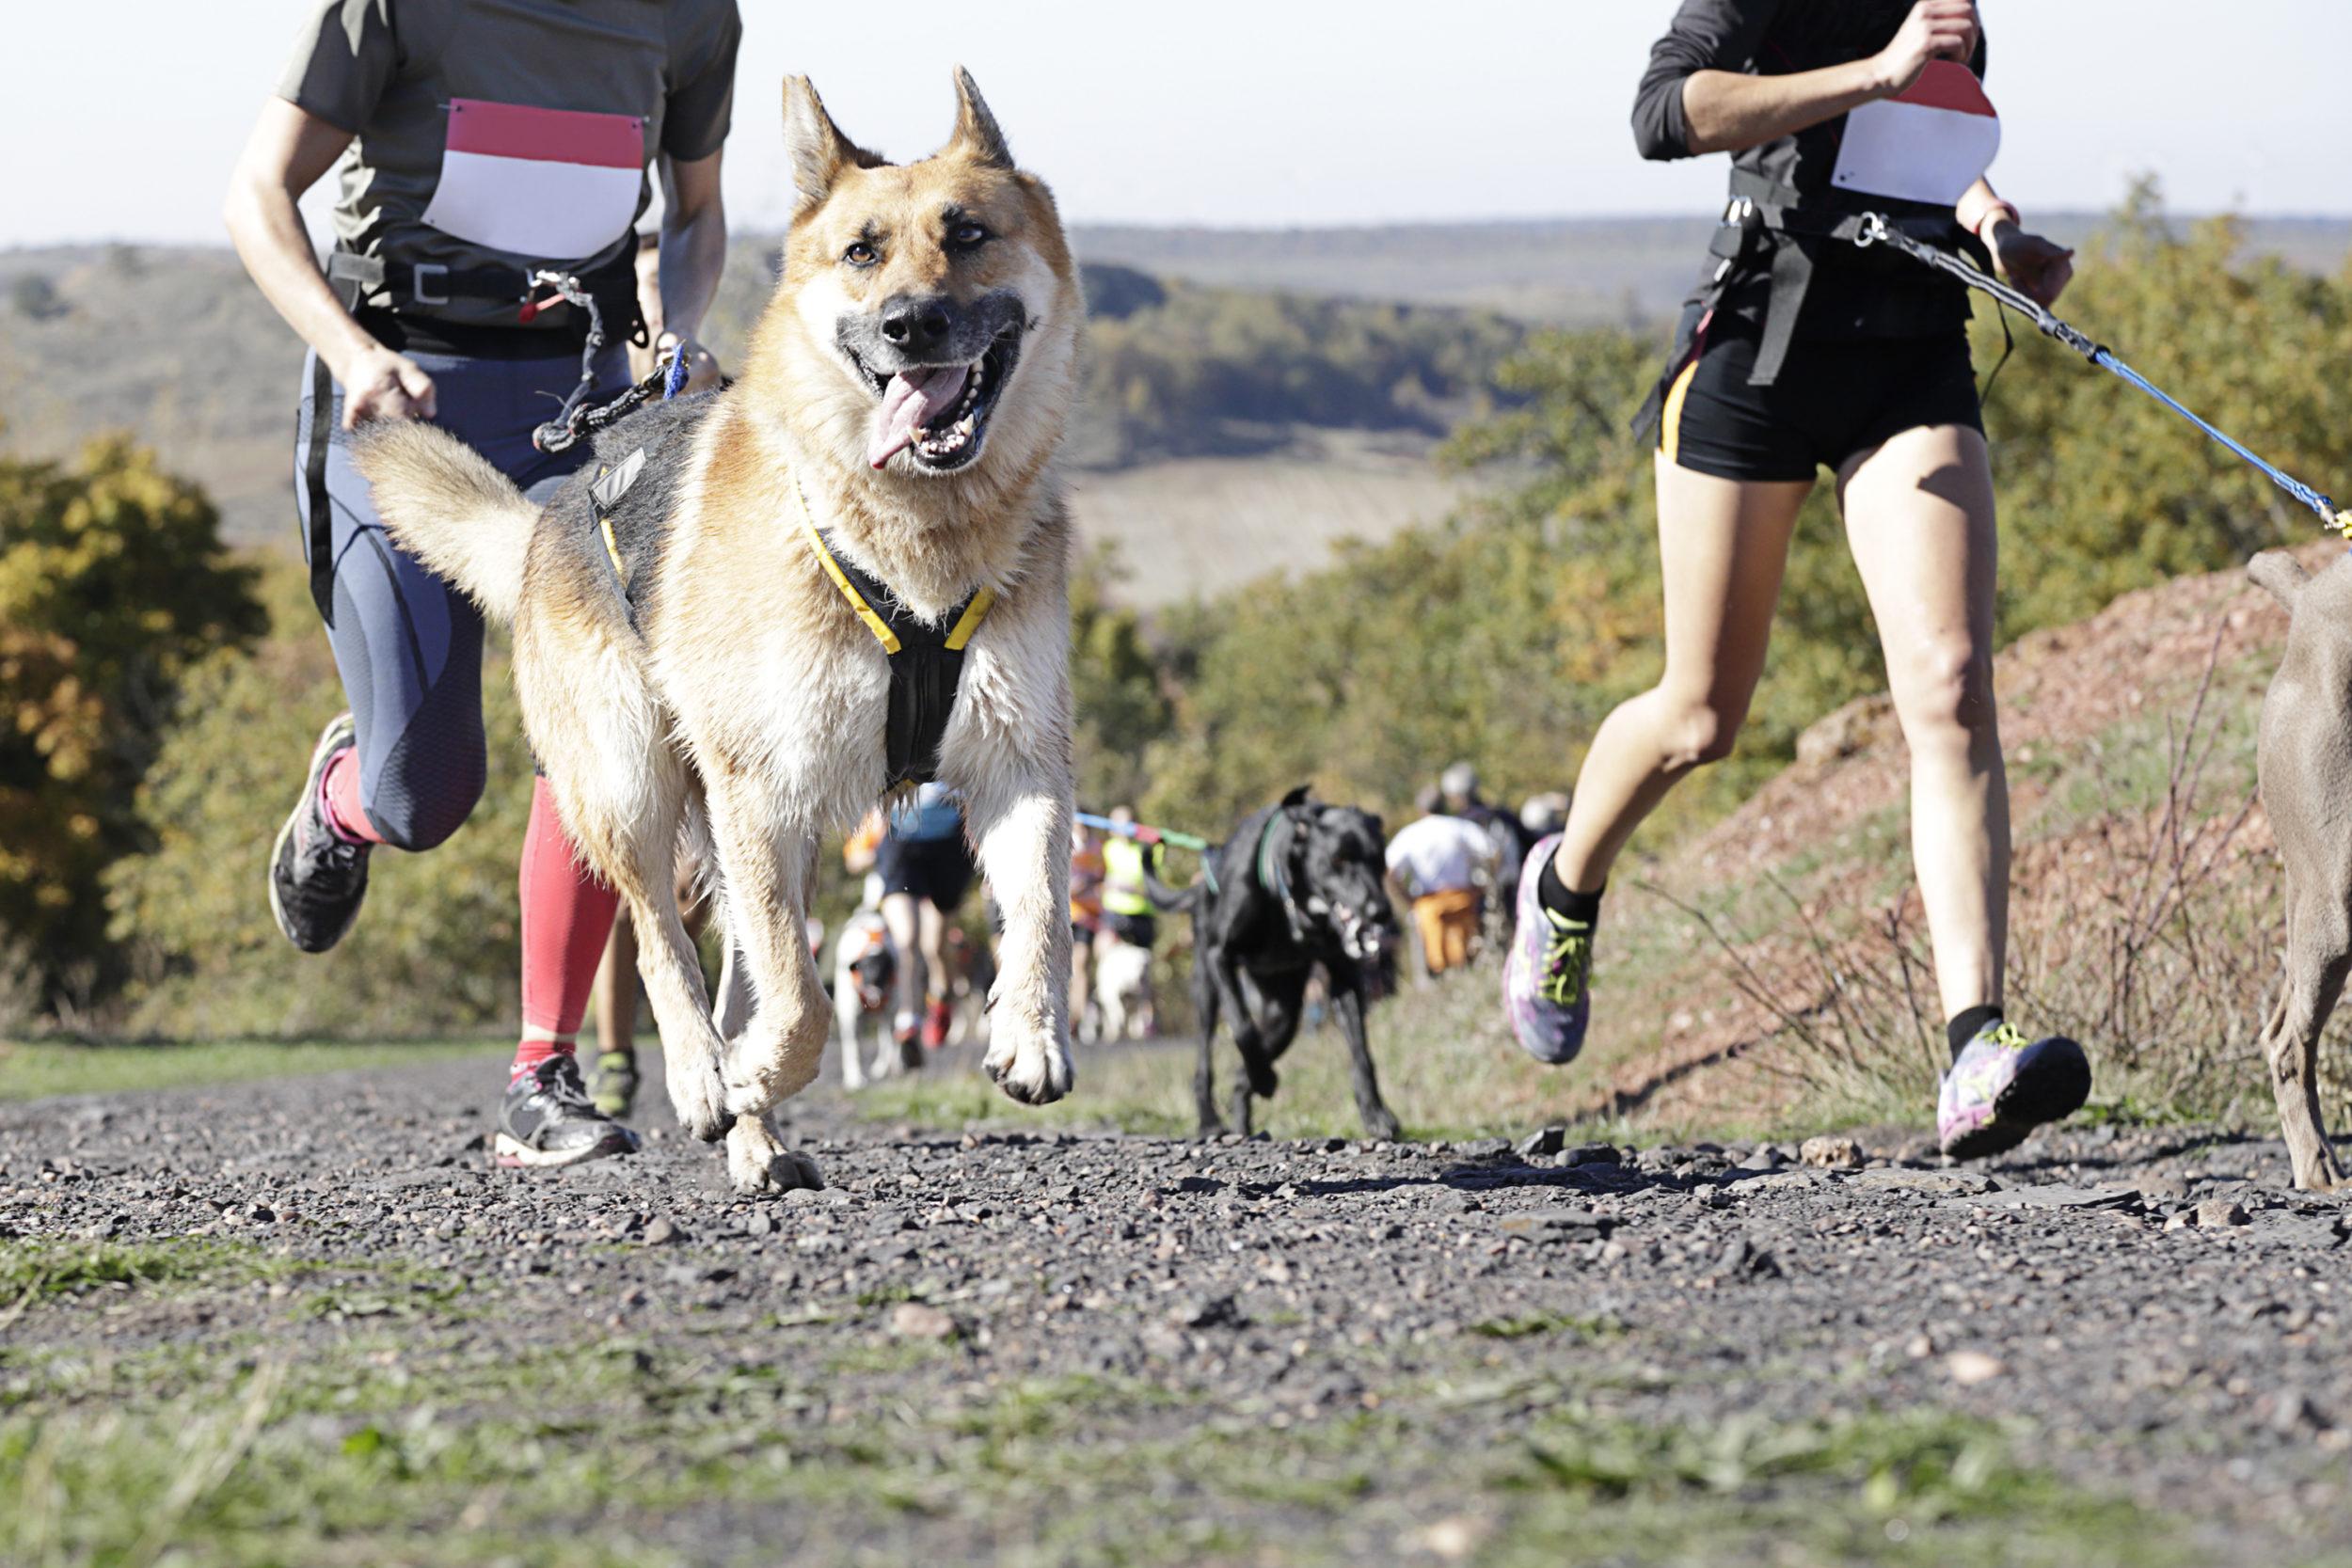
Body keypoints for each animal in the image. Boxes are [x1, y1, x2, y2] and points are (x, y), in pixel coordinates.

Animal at [355, 70, 1082, 1203]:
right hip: (632, 787)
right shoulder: (764, 792)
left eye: (968, 233)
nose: (910, 327)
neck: (911, 543)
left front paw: (1030, 1036)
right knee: (664, 942)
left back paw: (756, 1135)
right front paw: (740, 1075)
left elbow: (1040, 913)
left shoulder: (1019, 766)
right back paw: (707, 1078)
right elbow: (797, 995)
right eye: (863, 252)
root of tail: (553, 512)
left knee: (737, 965)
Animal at [1152, 784, 1392, 1142]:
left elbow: (1361, 1053)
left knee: (1241, 1078)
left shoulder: (1343, 976)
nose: (1380, 911)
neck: (1290, 900)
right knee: (1205, 1062)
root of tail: (1201, 887)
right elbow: (1241, 1027)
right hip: (1206, 989)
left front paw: (1376, 1114)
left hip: (1284, 1014)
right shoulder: (1220, 957)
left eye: (1380, 859)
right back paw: (1212, 1118)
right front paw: (1263, 1077)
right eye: (1338, 859)